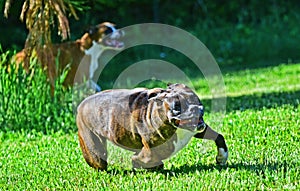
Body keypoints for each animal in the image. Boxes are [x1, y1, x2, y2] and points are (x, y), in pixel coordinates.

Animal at [77, 83, 227, 170]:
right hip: (95, 153)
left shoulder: (199, 130)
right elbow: (146, 159)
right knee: (100, 163)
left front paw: (222, 157)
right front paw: (138, 164)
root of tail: (82, 104)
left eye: (194, 99)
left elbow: (219, 137)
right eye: (176, 107)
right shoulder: (148, 154)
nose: (195, 108)